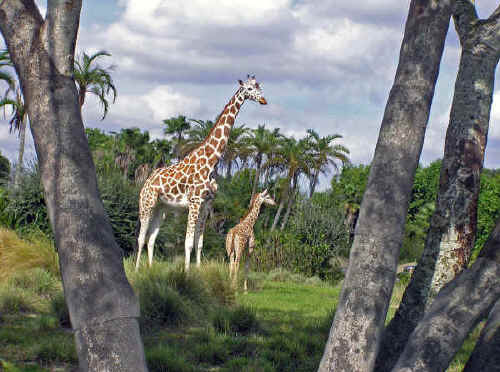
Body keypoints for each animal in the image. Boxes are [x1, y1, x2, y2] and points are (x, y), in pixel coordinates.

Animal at [135, 75, 268, 270]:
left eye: (259, 86)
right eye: (250, 88)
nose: (264, 100)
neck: (212, 162)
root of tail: (146, 182)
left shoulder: (207, 204)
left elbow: (199, 243)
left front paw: (197, 270)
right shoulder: (195, 202)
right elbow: (188, 243)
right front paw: (186, 272)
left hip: (162, 208)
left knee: (151, 238)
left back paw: (150, 269)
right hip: (147, 203)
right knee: (141, 237)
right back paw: (137, 269)